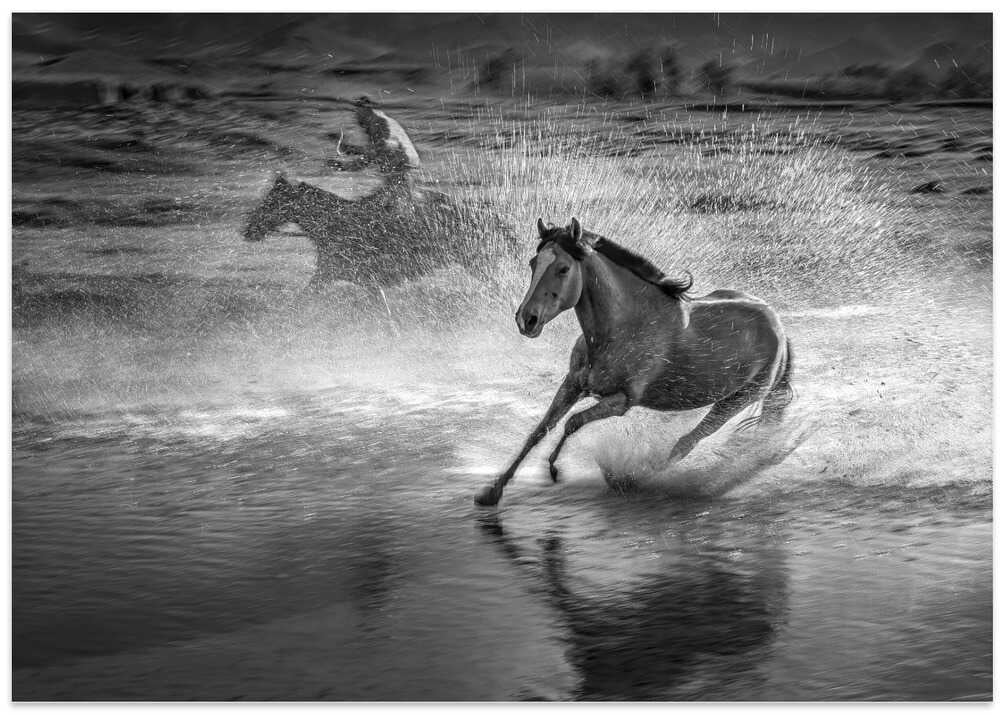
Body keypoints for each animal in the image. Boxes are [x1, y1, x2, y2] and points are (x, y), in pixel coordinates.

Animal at [475, 217, 793, 506]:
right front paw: (492, 492)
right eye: (533, 264)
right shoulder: (572, 385)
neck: (623, 328)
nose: (526, 320)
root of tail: (777, 326)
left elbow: (572, 423)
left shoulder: (622, 401)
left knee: (686, 443)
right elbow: (540, 429)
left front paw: (553, 469)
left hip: (735, 401)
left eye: (563, 268)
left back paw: (631, 480)